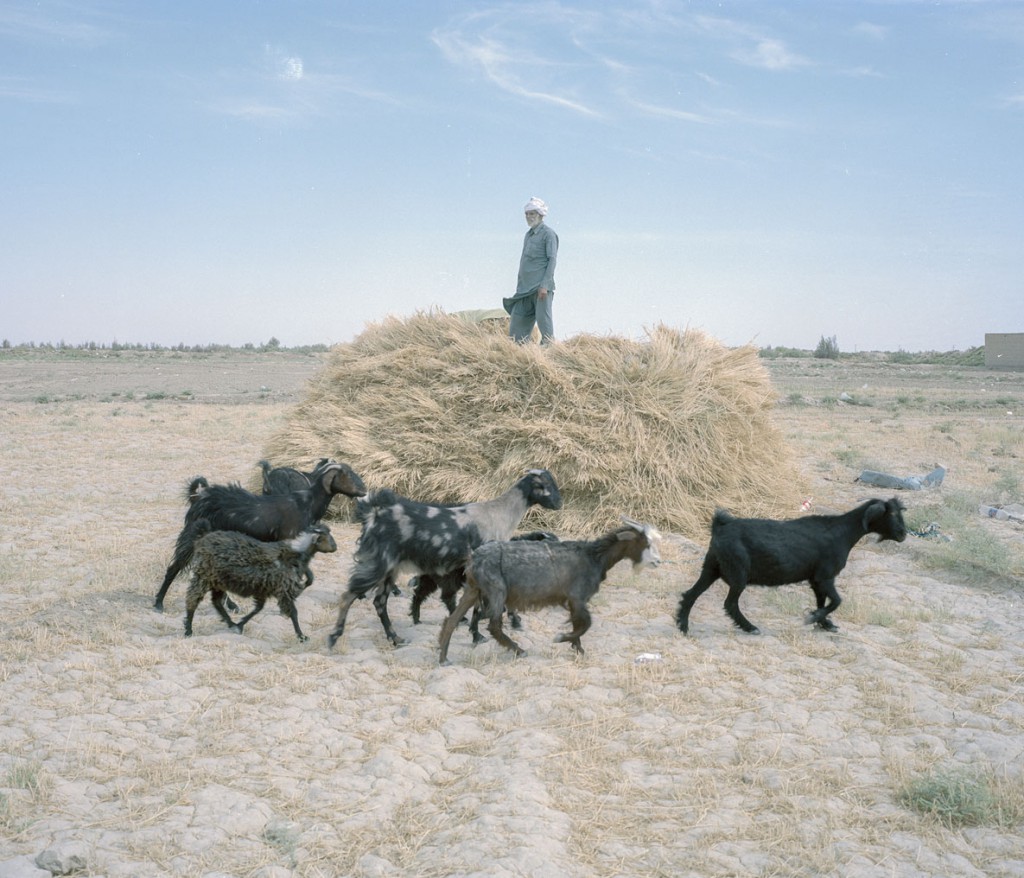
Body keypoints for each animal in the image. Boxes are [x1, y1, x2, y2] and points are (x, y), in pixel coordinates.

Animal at [153, 463, 366, 614]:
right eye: (347, 473)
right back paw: (158, 603)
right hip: (192, 537)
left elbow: (308, 577)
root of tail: (198, 497)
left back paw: (231, 605)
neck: (306, 503)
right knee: (174, 568)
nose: (364, 490)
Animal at [329, 469, 561, 647]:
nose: (559, 504)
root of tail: (373, 514)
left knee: (379, 602)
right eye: (546, 484)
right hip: (378, 564)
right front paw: (477, 636)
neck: (500, 513)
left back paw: (396, 639)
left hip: (389, 569)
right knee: (349, 595)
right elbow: (478, 607)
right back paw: (334, 637)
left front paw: (476, 634)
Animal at [440, 516, 663, 659]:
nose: (658, 561)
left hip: (473, 589)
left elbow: (579, 624)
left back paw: (443, 657)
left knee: (453, 620)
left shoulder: (574, 601)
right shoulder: (577, 597)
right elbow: (585, 623)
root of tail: (474, 558)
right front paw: (563, 639)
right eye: (645, 543)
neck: (594, 556)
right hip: (496, 592)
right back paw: (519, 650)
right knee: (493, 625)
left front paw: (578, 649)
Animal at [675, 495, 909, 635]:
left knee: (690, 594)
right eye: (892, 513)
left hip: (711, 568)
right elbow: (836, 601)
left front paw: (824, 623)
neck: (843, 532)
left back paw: (683, 626)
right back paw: (750, 627)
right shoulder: (825, 576)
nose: (903, 534)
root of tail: (720, 527)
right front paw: (813, 618)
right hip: (738, 573)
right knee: (730, 603)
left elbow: (822, 601)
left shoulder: (816, 580)